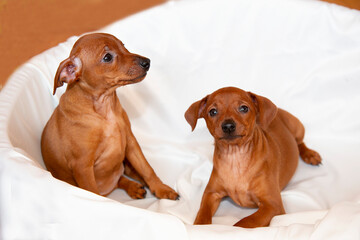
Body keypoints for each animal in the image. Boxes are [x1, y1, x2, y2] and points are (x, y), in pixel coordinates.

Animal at [41, 32, 179, 201]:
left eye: (123, 46)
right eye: (107, 57)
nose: (147, 62)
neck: (105, 109)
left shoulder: (131, 142)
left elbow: (146, 168)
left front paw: (161, 188)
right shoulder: (82, 167)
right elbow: (93, 193)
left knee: (125, 175)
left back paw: (136, 186)